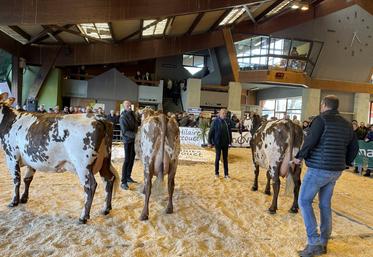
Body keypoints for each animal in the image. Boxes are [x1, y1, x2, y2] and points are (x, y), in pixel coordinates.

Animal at [0, 93, 118, 223]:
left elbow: (16, 179)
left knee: (90, 186)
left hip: (83, 165)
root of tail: (97, 117)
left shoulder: (11, 156)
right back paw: (106, 209)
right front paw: (24, 198)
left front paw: (14, 202)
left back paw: (83, 217)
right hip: (105, 160)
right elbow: (27, 179)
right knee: (109, 179)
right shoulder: (31, 159)